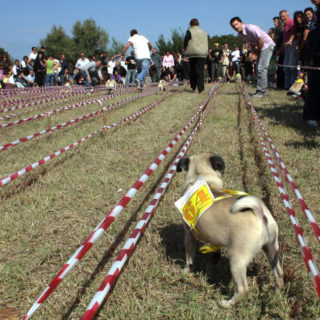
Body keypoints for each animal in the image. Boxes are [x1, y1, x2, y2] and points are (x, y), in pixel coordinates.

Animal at [176, 152, 284, 308]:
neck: (200, 177)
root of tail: (259, 212)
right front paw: (214, 260)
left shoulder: (188, 236)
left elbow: (189, 258)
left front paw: (186, 271)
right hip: (271, 248)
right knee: (279, 274)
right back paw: (275, 294)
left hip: (236, 259)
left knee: (243, 288)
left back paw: (227, 304)